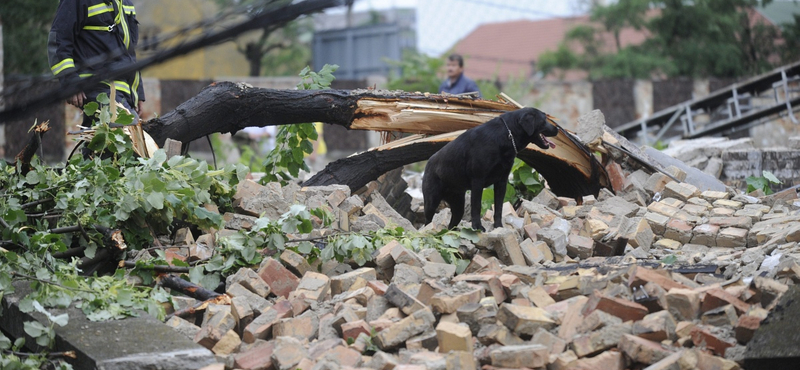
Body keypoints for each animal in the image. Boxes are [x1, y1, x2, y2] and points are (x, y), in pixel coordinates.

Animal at [424, 105, 556, 231]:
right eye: (544, 119)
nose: (557, 129)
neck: (507, 134)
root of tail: (428, 163)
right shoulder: (478, 181)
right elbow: (477, 207)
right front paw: (477, 227)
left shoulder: (501, 182)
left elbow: (499, 208)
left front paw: (498, 226)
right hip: (431, 202)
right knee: (427, 222)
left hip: (458, 204)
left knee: (451, 224)